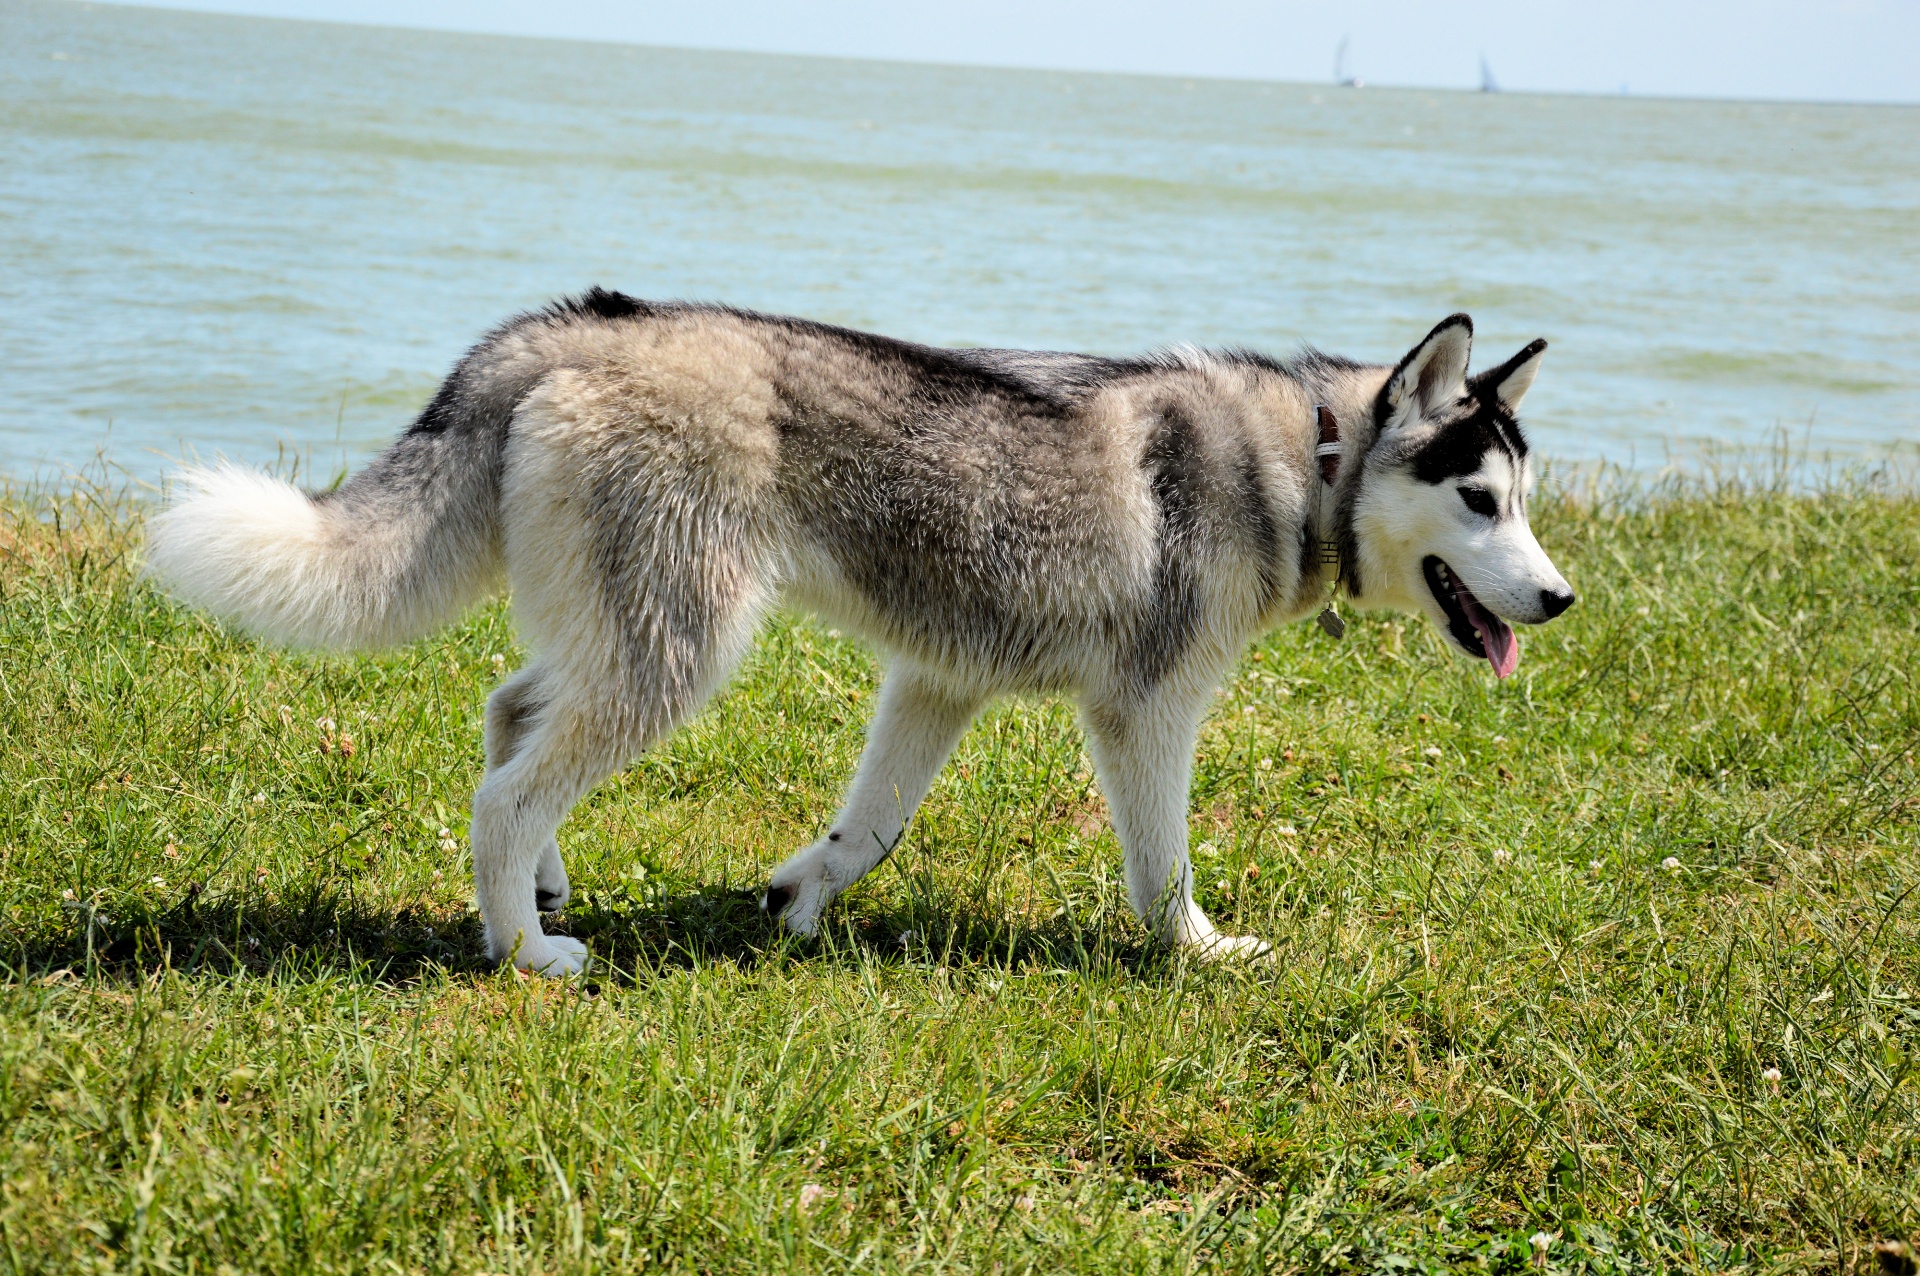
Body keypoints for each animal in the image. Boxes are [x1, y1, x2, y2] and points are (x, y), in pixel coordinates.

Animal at [149, 293, 1574, 974]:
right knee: (507, 789)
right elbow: (1163, 862)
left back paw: (543, 885)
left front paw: (801, 898)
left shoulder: (938, 681)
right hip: (681, 647)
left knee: (511, 712)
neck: (1308, 457)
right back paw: (522, 947)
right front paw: (1196, 953)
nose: (1561, 600)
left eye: (1527, 501)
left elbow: (872, 824)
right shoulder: (1147, 708)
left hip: (621, 626)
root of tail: (573, 326)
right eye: (1481, 501)